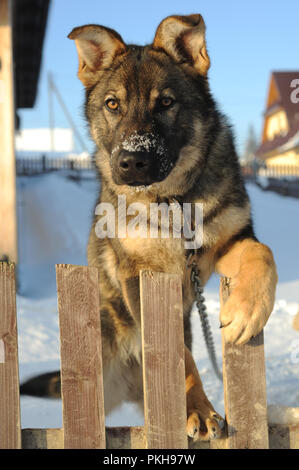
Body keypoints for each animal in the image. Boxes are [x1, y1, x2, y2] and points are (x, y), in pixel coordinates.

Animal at [21, 12, 278, 442]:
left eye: (166, 103)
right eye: (113, 104)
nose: (132, 162)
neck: (171, 202)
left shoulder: (227, 241)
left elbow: (263, 253)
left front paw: (247, 310)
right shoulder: (138, 275)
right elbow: (179, 354)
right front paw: (196, 406)